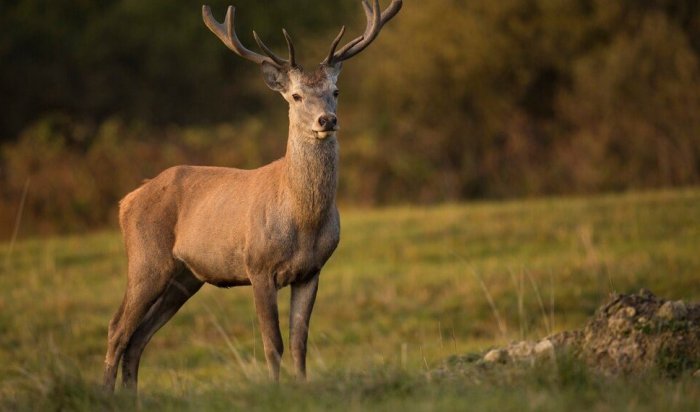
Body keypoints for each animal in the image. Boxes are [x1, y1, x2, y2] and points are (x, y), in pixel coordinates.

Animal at [101, 0, 402, 392]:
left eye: (335, 91)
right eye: (296, 96)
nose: (327, 120)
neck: (303, 220)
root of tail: (127, 200)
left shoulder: (312, 270)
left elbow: (299, 341)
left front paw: (302, 386)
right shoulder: (258, 265)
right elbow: (272, 342)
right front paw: (274, 389)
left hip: (185, 276)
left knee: (138, 337)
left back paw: (131, 396)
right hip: (146, 259)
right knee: (117, 328)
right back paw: (107, 393)